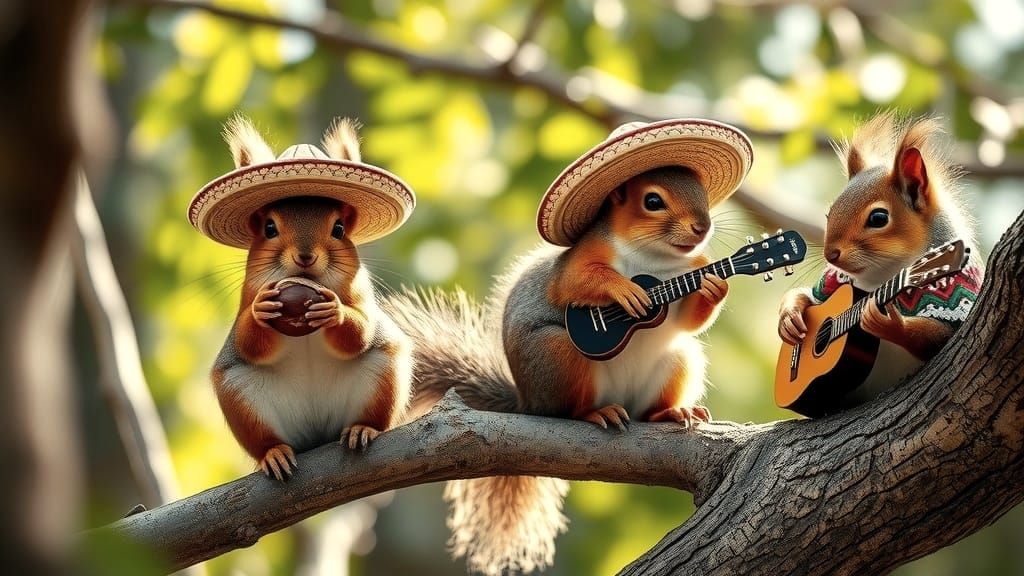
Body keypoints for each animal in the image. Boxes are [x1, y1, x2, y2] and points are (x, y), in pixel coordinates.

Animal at [210, 119, 412, 480]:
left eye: (340, 228)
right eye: (269, 228)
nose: (305, 257)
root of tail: (317, 433)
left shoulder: (360, 294)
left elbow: (360, 334)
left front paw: (334, 311)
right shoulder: (247, 295)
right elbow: (249, 341)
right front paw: (261, 311)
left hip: (382, 375)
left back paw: (362, 429)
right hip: (241, 396)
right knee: (265, 439)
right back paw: (274, 453)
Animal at [386, 166, 727, 574]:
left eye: (704, 193)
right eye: (653, 201)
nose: (702, 227)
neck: (655, 260)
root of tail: (528, 403)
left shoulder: (683, 280)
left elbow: (692, 320)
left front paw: (715, 283)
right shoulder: (584, 255)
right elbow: (576, 280)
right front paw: (622, 290)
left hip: (679, 359)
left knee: (654, 400)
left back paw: (672, 411)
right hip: (557, 354)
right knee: (568, 410)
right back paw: (596, 413)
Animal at [778, 112, 983, 407]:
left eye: (878, 218)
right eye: (829, 214)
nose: (830, 254)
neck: (884, 275)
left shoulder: (959, 288)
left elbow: (937, 337)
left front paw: (890, 324)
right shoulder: (832, 280)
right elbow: (810, 295)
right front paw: (789, 315)